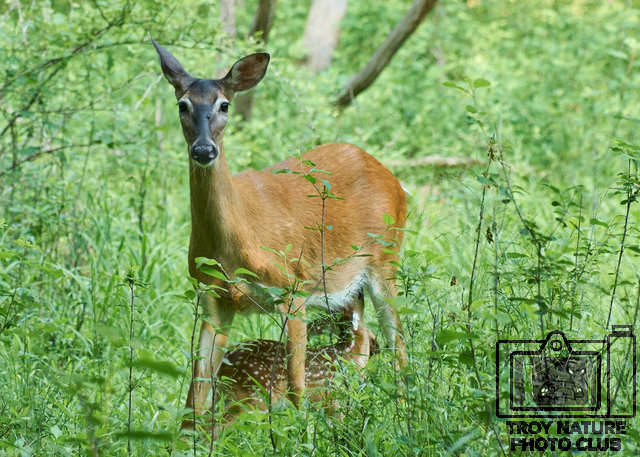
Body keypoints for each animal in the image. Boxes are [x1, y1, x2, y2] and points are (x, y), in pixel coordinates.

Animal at [151, 39, 407, 427]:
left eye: (224, 104)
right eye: (182, 104)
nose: (204, 149)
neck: (235, 243)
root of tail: (393, 179)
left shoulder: (293, 287)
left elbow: (297, 388)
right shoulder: (212, 299)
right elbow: (193, 400)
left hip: (385, 260)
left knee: (399, 344)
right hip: (347, 289)